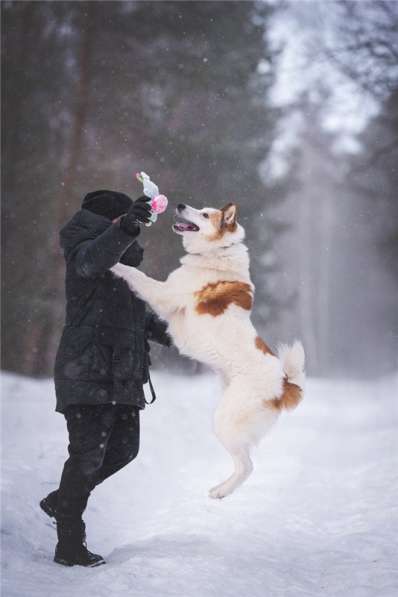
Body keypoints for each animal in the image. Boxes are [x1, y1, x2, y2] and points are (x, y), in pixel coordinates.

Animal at [112, 203, 304, 496]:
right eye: (200, 209)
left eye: (204, 215)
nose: (180, 205)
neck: (216, 251)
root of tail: (284, 384)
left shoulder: (164, 295)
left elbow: (136, 274)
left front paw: (113, 263)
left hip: (224, 421)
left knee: (247, 466)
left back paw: (221, 492)